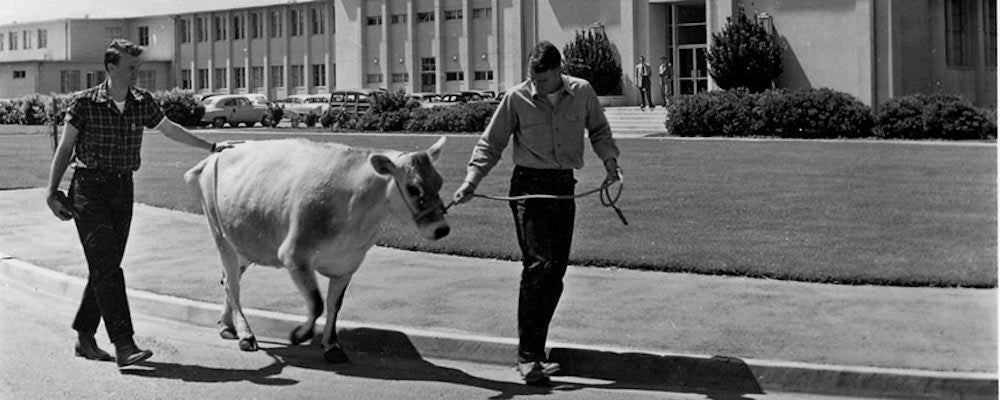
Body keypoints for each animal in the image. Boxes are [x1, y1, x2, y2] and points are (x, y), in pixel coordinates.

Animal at [186, 135, 452, 362]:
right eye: (413, 188)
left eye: (440, 182)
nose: (442, 229)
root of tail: (214, 157)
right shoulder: (294, 255)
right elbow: (316, 303)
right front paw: (299, 334)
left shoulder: (348, 264)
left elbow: (335, 305)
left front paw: (332, 345)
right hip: (221, 236)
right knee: (232, 285)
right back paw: (245, 334)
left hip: (246, 242)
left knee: (227, 280)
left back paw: (227, 324)